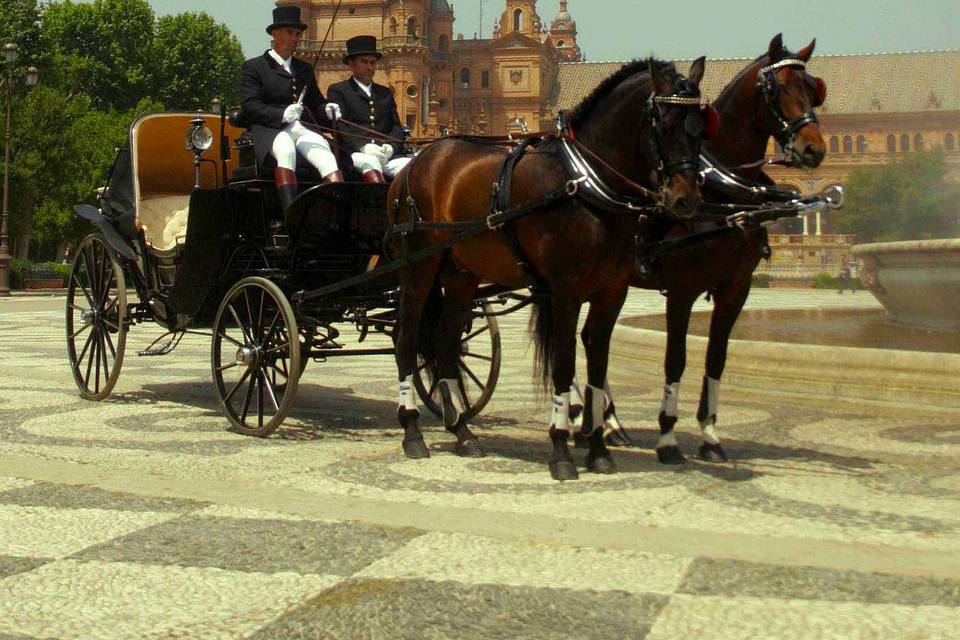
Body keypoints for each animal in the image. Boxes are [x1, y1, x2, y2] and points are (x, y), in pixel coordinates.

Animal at [388, 58, 712, 480]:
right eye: (662, 122)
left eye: (700, 126)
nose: (686, 200)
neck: (587, 183)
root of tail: (414, 163)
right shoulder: (564, 289)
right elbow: (563, 363)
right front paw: (561, 451)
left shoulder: (613, 291)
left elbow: (597, 364)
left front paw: (598, 448)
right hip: (418, 268)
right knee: (406, 341)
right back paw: (412, 432)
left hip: (461, 276)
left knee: (444, 344)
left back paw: (463, 432)